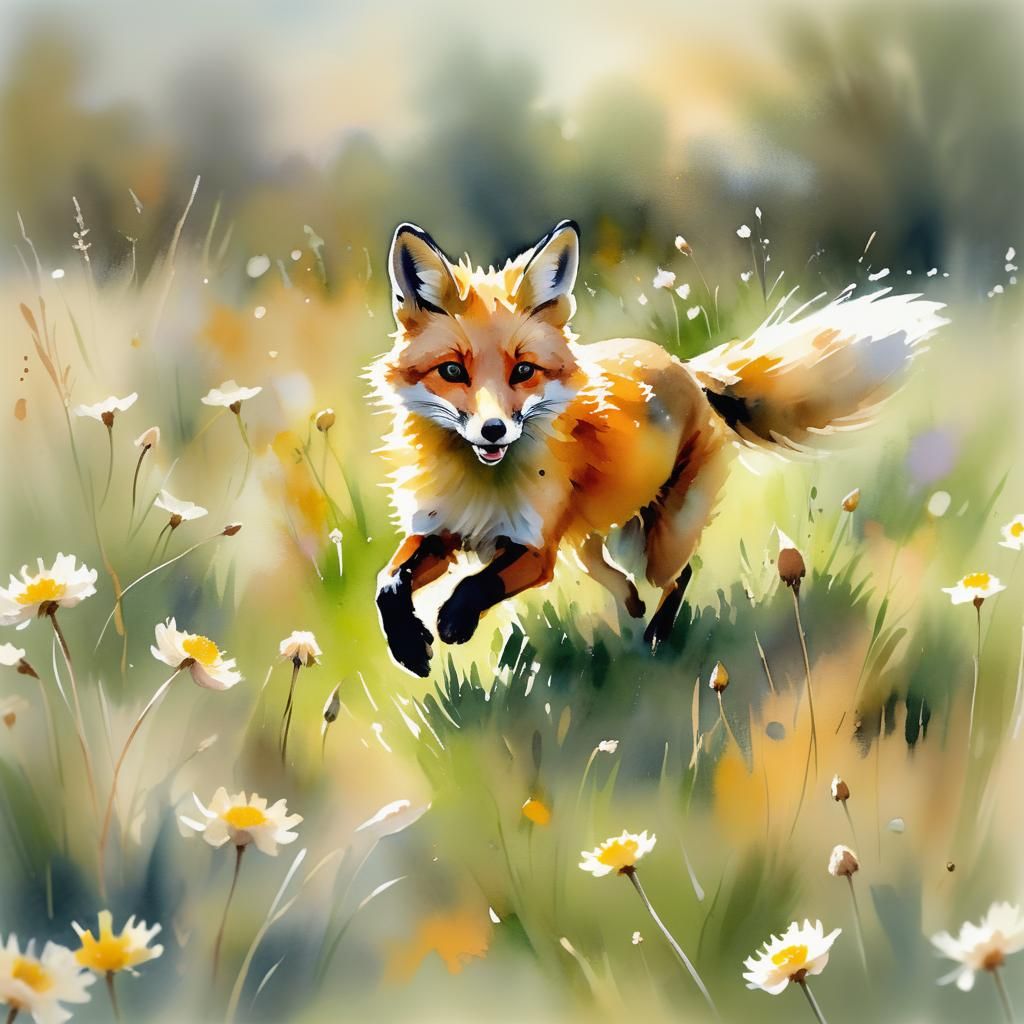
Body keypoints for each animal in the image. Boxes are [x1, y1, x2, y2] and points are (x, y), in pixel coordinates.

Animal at [370, 220, 946, 677]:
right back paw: (630, 608)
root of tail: (686, 368)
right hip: (598, 535)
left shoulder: (535, 551)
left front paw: (452, 621)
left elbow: (477, 585)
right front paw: (409, 647)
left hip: (659, 541)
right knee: (610, 570)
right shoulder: (441, 529)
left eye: (523, 371)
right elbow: (388, 582)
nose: (493, 430)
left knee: (678, 574)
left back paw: (655, 635)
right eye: (452, 371)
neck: (481, 485)